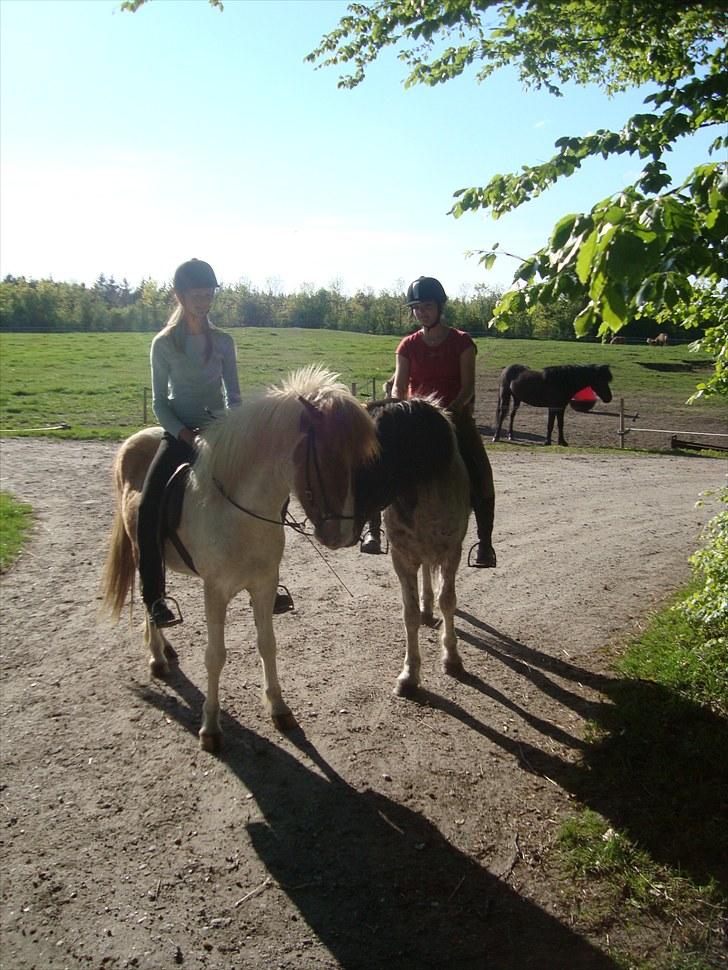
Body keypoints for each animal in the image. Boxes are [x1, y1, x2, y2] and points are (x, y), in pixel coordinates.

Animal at [101, 364, 378, 748]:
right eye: (329, 458)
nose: (345, 535)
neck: (240, 512)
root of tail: (138, 438)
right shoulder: (215, 592)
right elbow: (215, 656)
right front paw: (210, 727)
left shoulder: (263, 585)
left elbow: (268, 645)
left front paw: (279, 708)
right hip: (141, 546)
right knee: (148, 594)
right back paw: (157, 656)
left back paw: (164, 647)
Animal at [354, 398, 470, 696]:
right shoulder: (402, 558)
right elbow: (409, 614)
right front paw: (409, 675)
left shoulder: (452, 552)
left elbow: (447, 601)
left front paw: (452, 659)